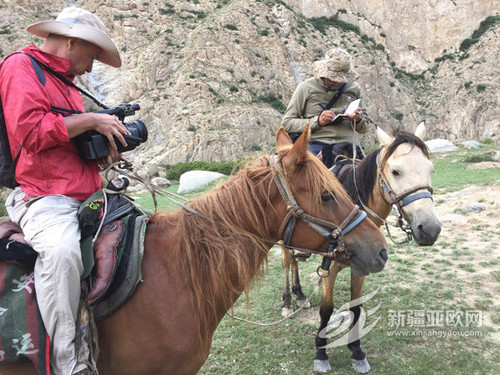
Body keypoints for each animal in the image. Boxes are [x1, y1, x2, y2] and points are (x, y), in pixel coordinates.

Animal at [282, 123, 442, 374]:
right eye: (395, 171)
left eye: (431, 169)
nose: (430, 229)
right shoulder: (329, 267)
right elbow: (326, 310)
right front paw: (321, 353)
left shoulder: (363, 267)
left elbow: (356, 308)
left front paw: (357, 352)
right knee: (287, 264)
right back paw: (288, 301)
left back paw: (300, 295)